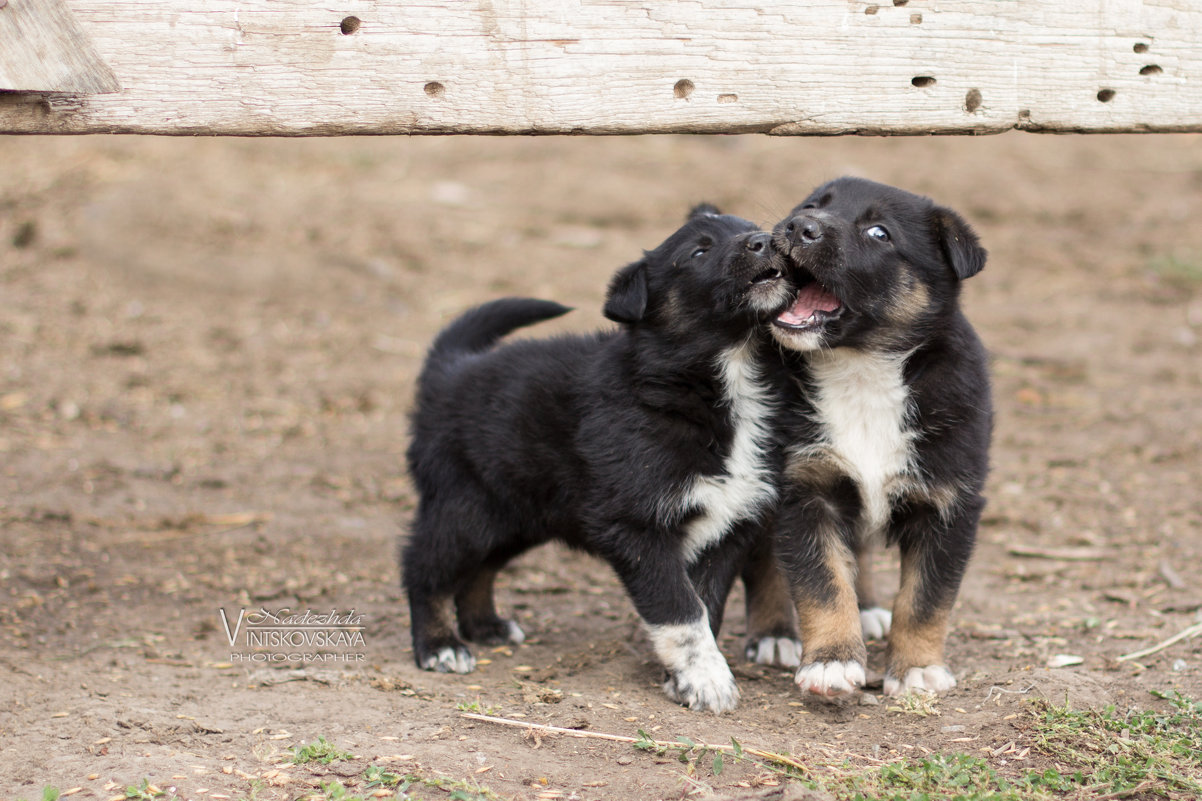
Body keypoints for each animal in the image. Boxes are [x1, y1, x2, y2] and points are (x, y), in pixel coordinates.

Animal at [401, 205, 798, 712]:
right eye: (699, 251)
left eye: (748, 226)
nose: (765, 240)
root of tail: (450, 370)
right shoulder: (636, 527)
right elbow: (680, 609)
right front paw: (706, 679)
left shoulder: (727, 527)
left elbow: (706, 606)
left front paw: (683, 679)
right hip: (466, 506)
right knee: (424, 566)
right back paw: (439, 645)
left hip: (517, 513)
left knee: (480, 568)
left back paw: (486, 626)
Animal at [764, 178, 990, 697]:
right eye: (812, 206)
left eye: (879, 233)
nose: (797, 226)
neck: (861, 371)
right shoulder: (803, 491)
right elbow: (822, 584)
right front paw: (830, 662)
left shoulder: (949, 503)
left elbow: (925, 599)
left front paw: (917, 668)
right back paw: (773, 634)